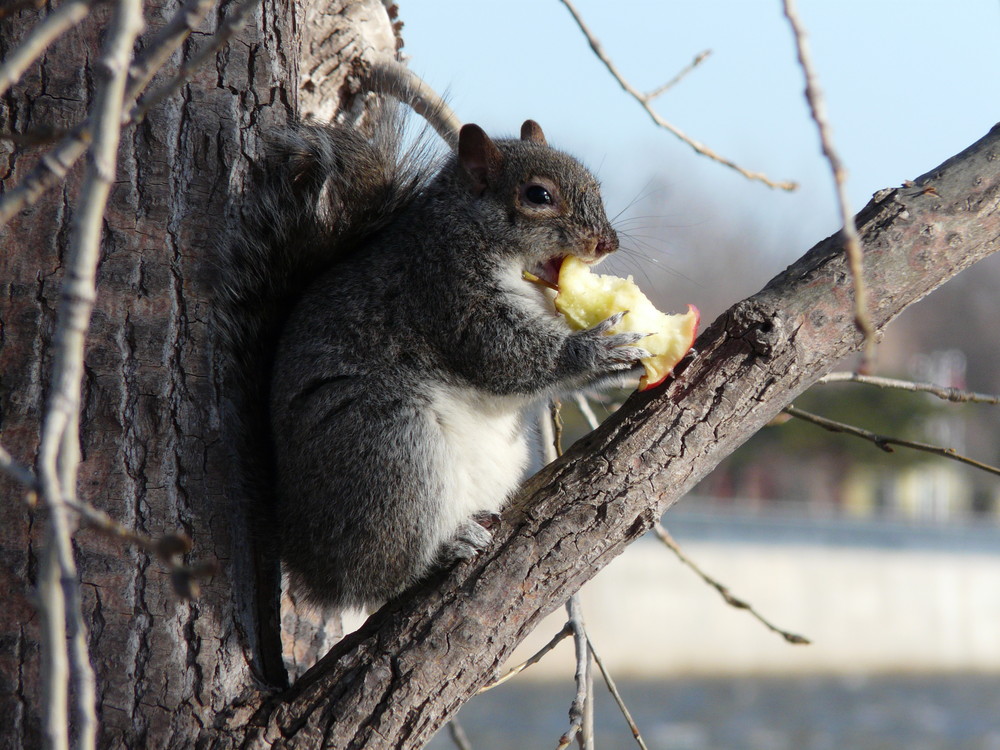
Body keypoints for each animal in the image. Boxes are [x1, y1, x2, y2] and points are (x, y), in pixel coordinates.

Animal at [221, 100, 648, 612]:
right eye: (539, 195)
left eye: (595, 185)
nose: (607, 244)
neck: (465, 228)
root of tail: (300, 546)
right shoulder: (446, 294)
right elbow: (505, 357)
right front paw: (595, 352)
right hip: (388, 447)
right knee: (376, 577)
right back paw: (444, 549)